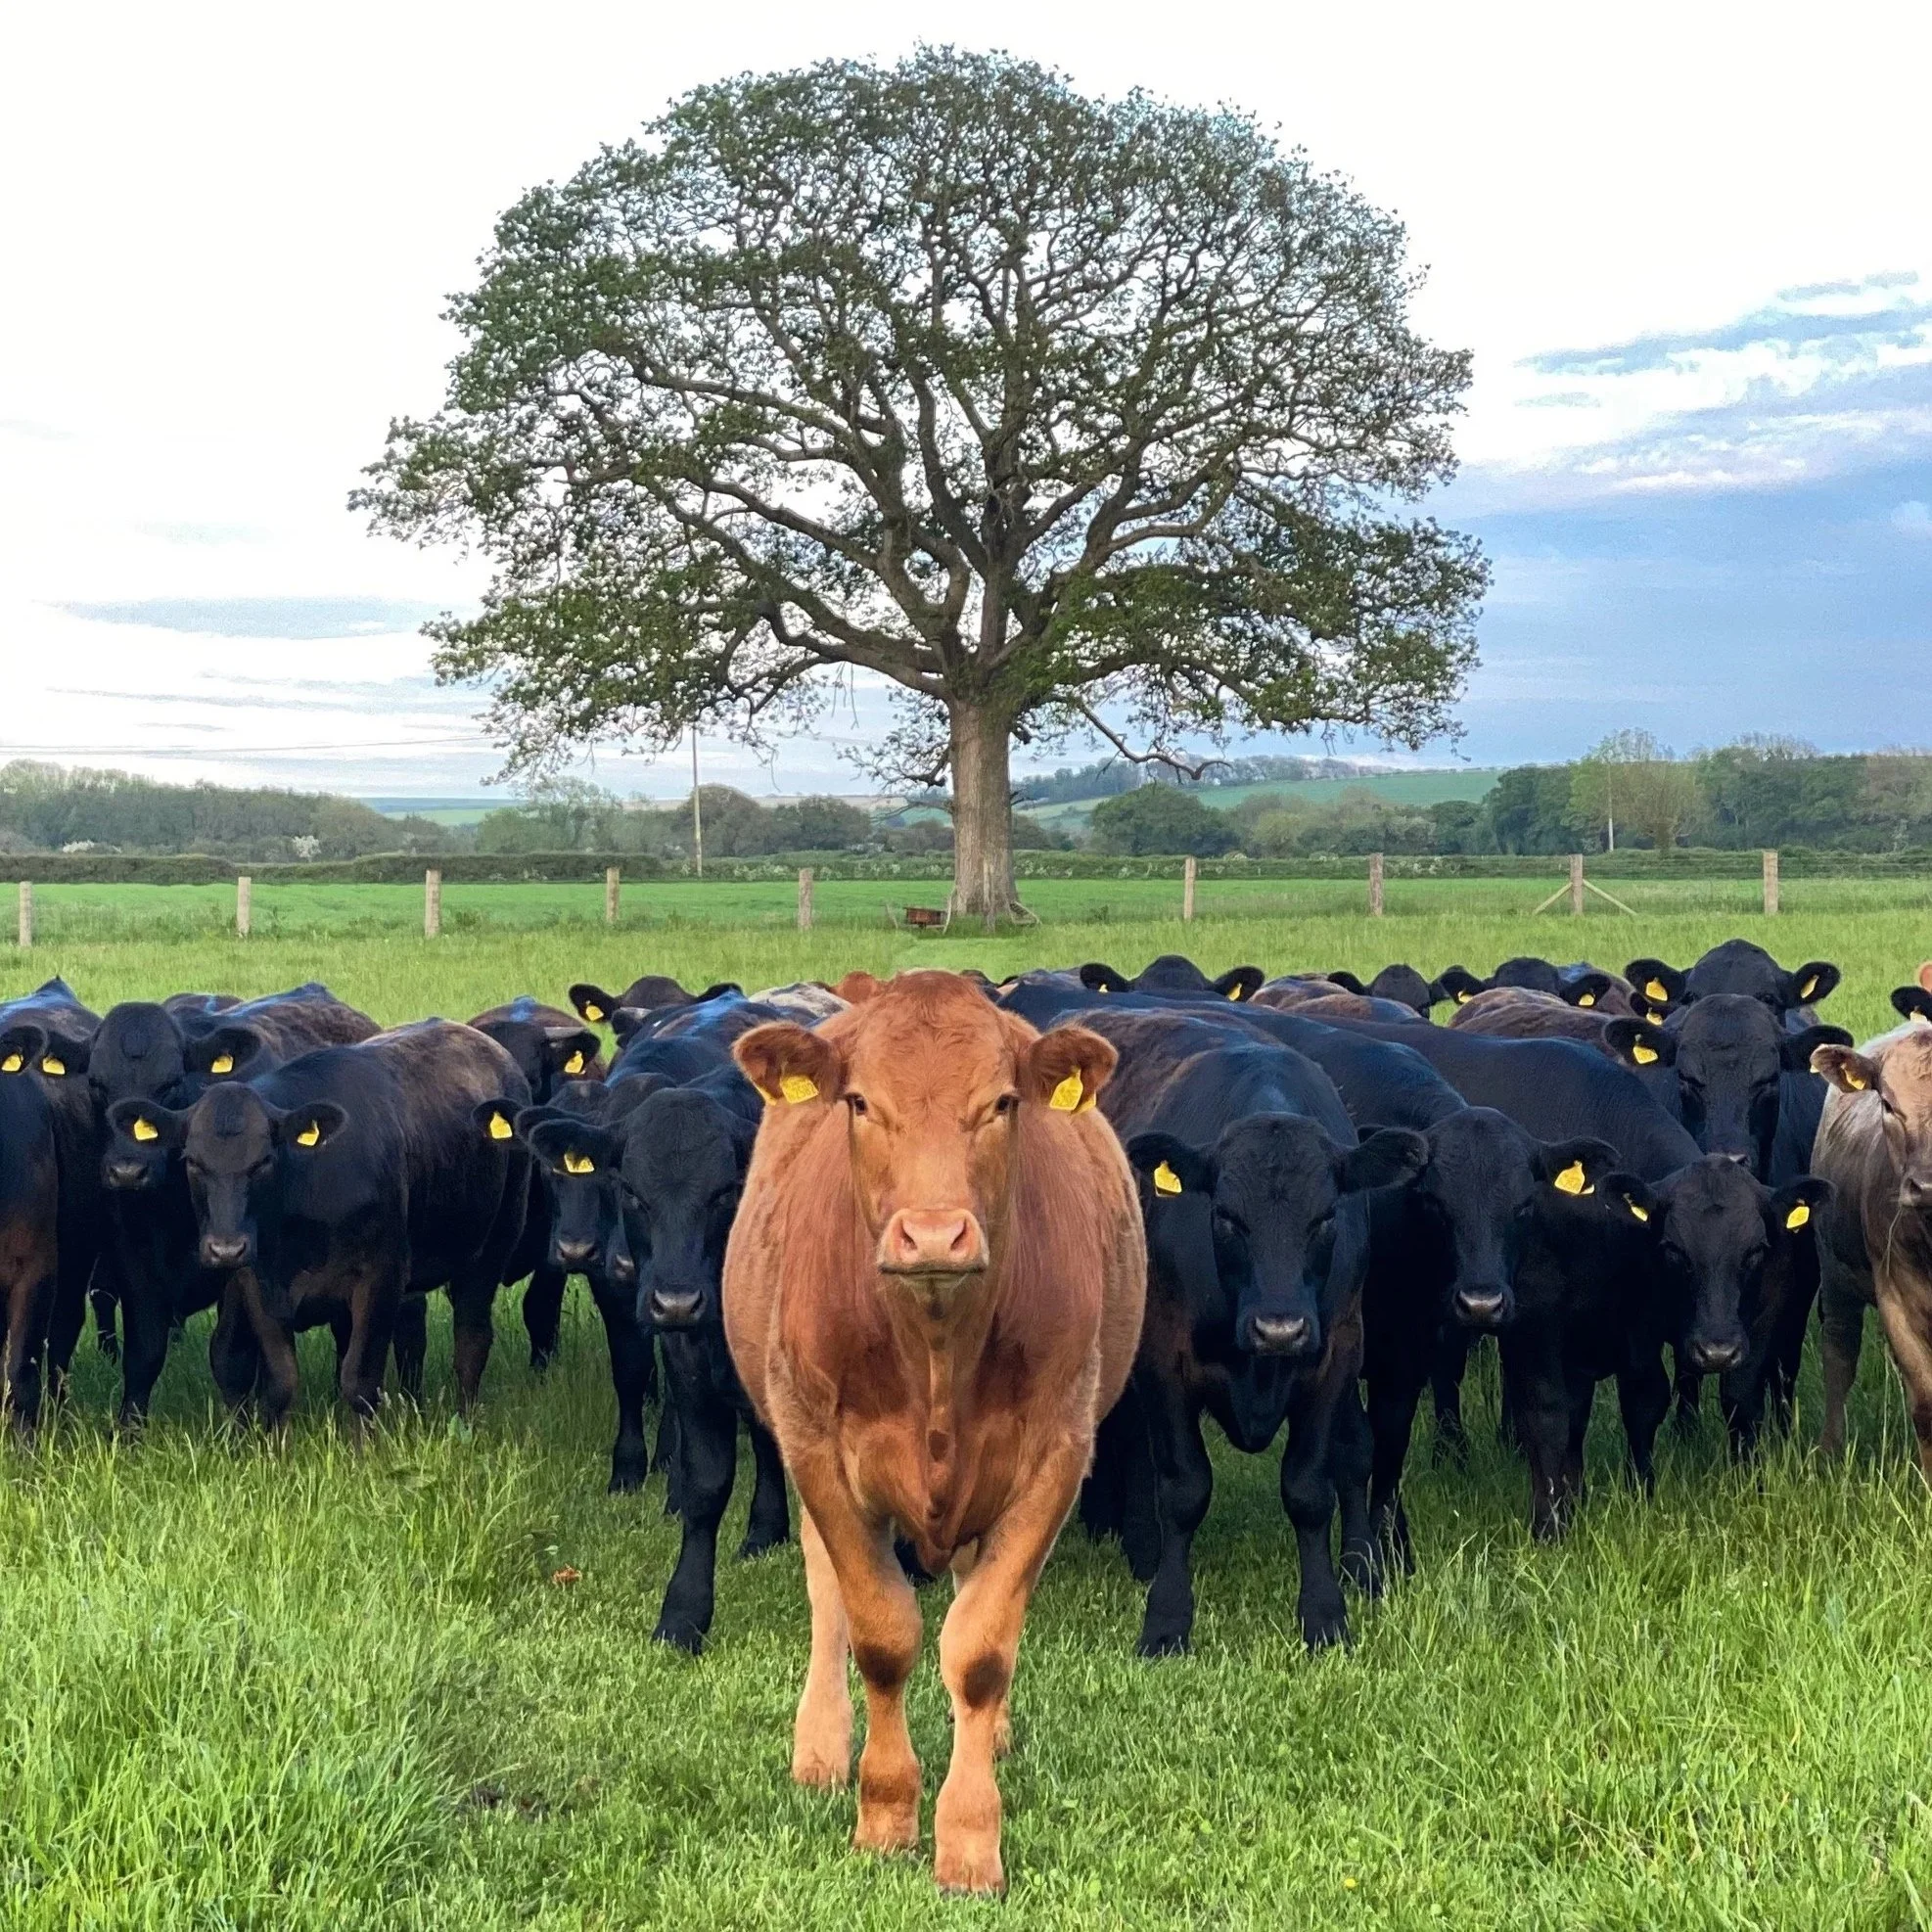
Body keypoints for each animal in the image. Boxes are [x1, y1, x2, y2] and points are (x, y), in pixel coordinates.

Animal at [107, 1021, 529, 1424]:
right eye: (193, 1161)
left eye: (263, 1161)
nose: (226, 1248)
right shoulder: (258, 1283)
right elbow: (280, 1383)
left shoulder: (381, 1275)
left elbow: (360, 1382)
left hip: (493, 1246)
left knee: (472, 1339)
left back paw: (465, 1421)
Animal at [723, 971, 1145, 1895]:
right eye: (858, 1102)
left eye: (1002, 1103)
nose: (933, 1234)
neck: (936, 1348)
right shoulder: (817, 1450)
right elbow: (881, 1636)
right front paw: (884, 1814)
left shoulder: (1056, 1454)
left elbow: (980, 1650)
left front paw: (969, 1839)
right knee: (828, 1598)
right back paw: (820, 1748)